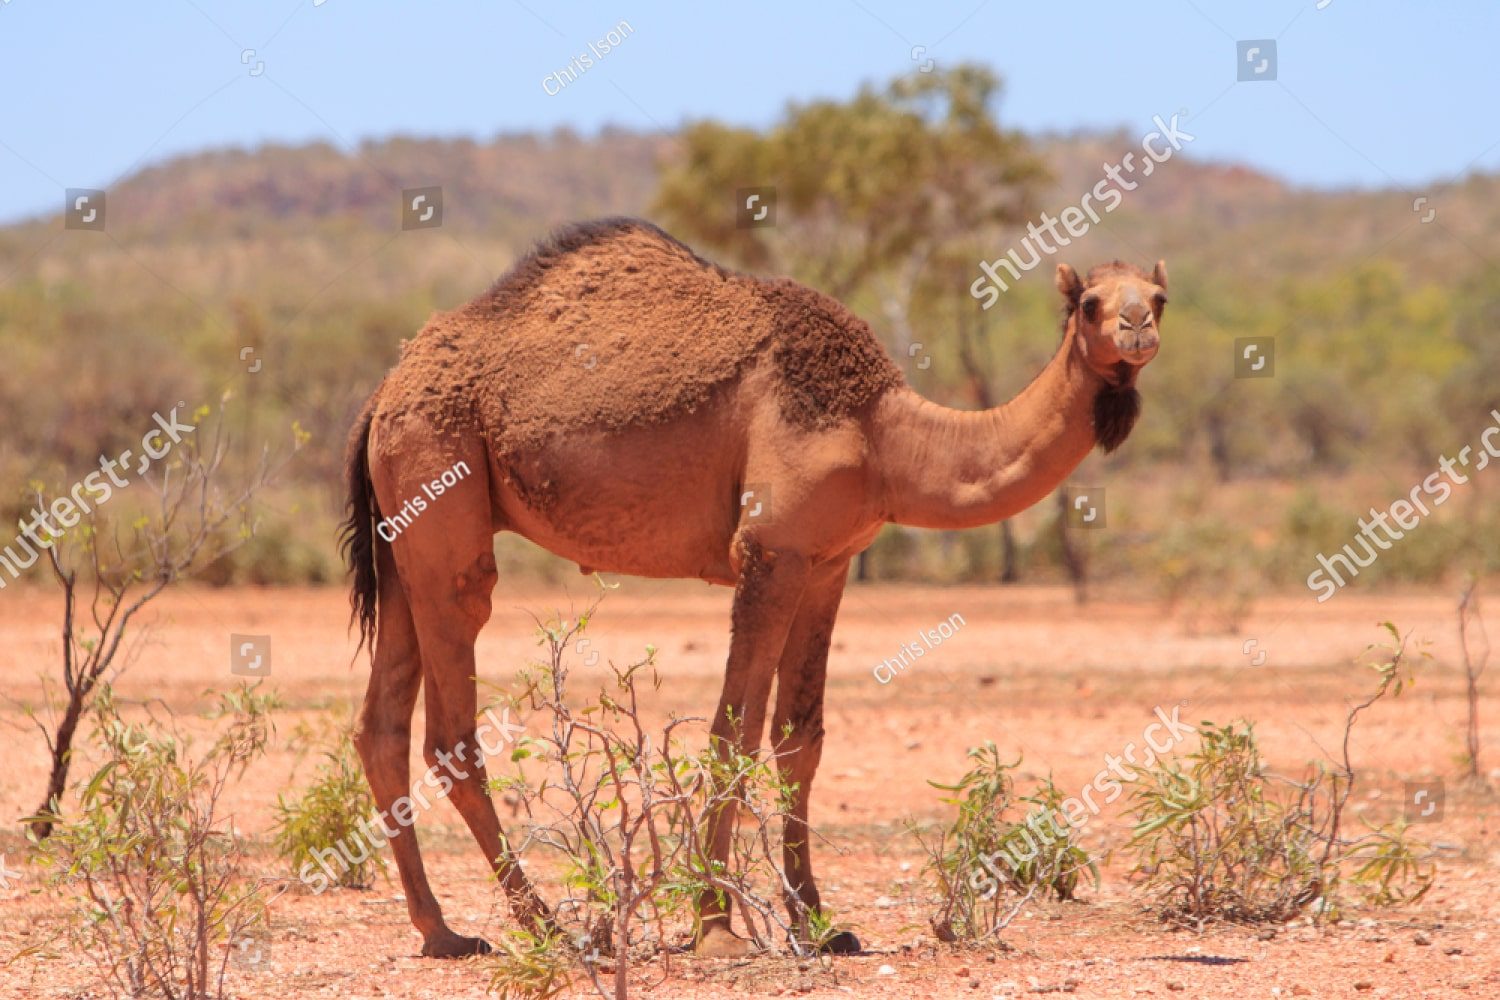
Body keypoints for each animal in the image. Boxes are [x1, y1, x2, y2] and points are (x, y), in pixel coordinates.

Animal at [341, 217, 1166, 958]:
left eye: (1159, 294)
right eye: (1090, 302)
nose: (1137, 328)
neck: (883, 434)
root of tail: (383, 391)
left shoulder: (827, 560)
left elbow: (800, 737)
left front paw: (819, 926)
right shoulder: (769, 549)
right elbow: (730, 731)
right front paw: (715, 928)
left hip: (402, 534)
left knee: (380, 726)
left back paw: (443, 932)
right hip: (440, 485)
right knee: (451, 725)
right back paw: (549, 927)